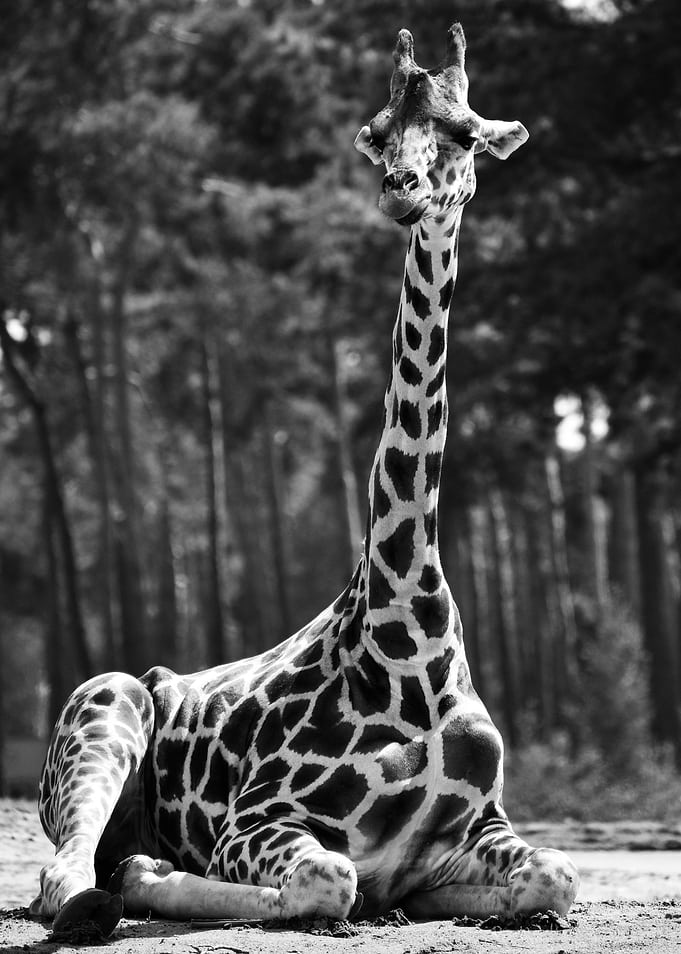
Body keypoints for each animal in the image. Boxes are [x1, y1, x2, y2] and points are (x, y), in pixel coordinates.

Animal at [30, 22, 579, 938]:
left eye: (464, 133)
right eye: (379, 135)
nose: (401, 192)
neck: (409, 632)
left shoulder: (485, 826)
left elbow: (555, 876)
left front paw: (440, 897)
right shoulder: (258, 819)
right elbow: (331, 877)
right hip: (104, 709)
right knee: (69, 876)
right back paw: (127, 878)